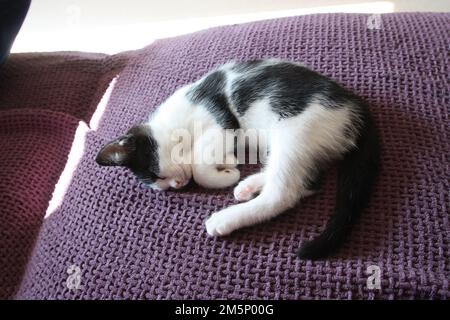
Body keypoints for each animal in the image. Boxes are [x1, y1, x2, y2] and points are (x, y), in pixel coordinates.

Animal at [96, 59, 380, 260]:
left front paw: (226, 172)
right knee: (306, 182)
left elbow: (199, 165)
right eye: (162, 184)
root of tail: (356, 107)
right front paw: (229, 163)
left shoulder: (222, 123)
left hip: (295, 132)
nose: (177, 185)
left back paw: (225, 218)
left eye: (158, 175)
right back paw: (248, 186)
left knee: (283, 194)